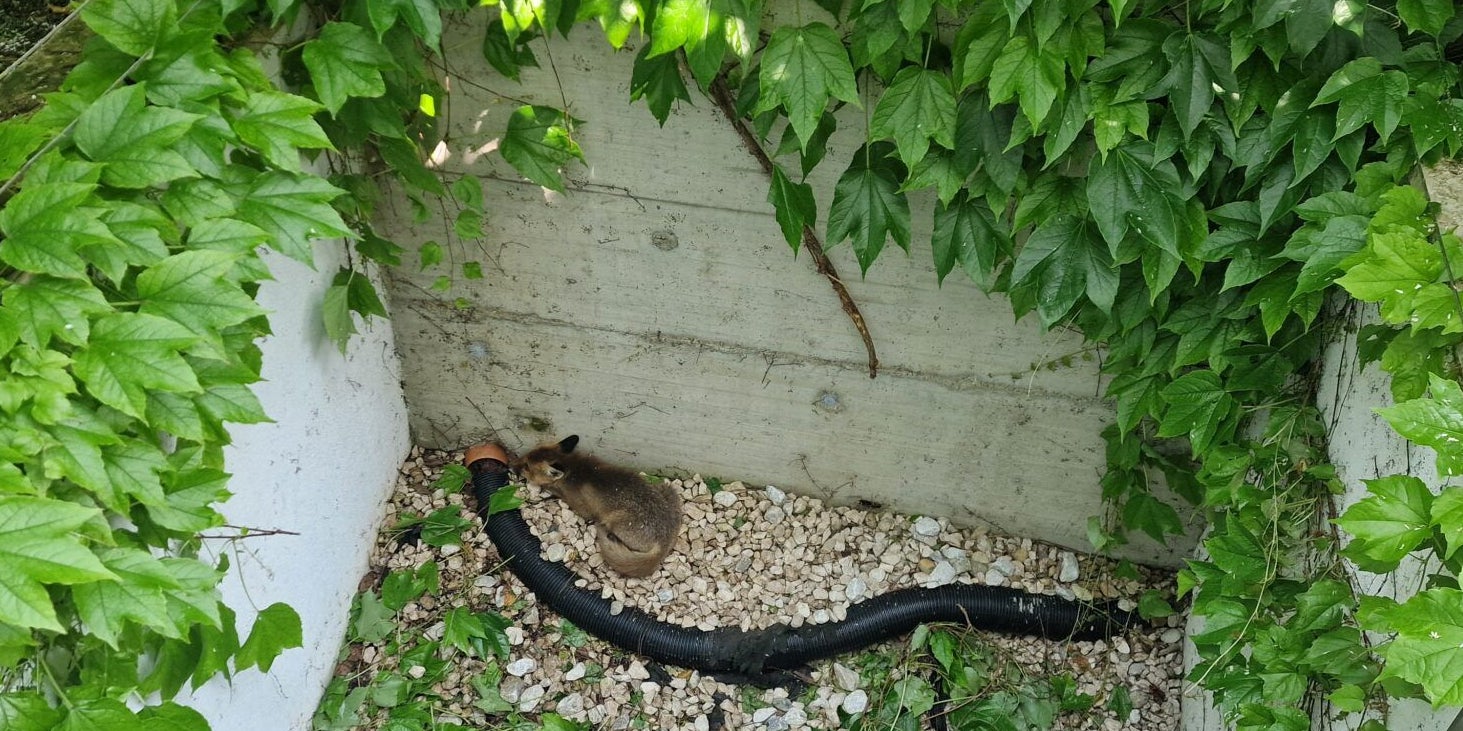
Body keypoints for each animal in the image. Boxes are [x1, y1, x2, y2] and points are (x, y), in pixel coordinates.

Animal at [513, 435, 682, 578]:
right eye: (526, 455)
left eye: (526, 466)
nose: (511, 464)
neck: (571, 466)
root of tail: (664, 541)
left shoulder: (582, 508)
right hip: (667, 489)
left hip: (614, 521)